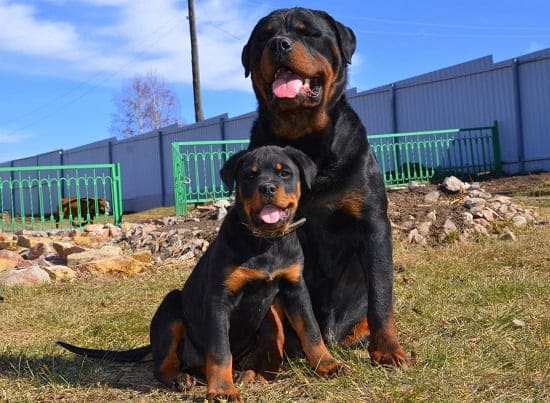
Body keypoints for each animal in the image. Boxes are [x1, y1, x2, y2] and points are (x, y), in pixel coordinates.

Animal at [58, 147, 342, 402]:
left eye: (285, 173)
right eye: (249, 176)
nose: (268, 188)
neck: (265, 242)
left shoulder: (295, 288)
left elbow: (310, 329)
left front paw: (328, 364)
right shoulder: (219, 300)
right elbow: (219, 351)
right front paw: (222, 391)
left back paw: (247, 374)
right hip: (172, 307)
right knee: (164, 363)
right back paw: (181, 378)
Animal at [244, 8, 412, 370]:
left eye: (308, 32)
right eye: (265, 36)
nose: (279, 44)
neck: (306, 141)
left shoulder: (374, 224)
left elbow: (381, 295)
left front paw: (388, 350)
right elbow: (274, 315)